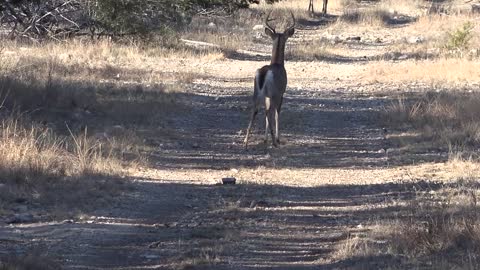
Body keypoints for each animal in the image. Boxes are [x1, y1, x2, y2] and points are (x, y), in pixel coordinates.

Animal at [246, 11, 294, 150]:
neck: (278, 64)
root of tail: (264, 73)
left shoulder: (268, 95)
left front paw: (265, 138)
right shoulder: (281, 93)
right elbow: (277, 113)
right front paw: (277, 138)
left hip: (257, 92)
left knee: (255, 110)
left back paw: (245, 142)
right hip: (273, 93)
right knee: (269, 111)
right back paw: (274, 141)